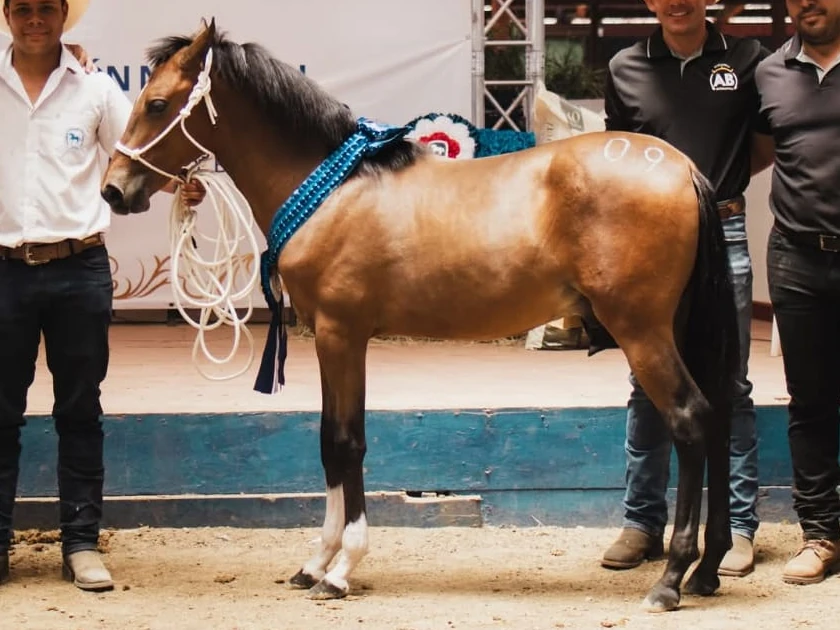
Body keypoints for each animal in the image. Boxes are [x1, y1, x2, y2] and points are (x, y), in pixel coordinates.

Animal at [100, 20, 739, 613]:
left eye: (156, 104)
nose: (113, 189)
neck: (333, 191)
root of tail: (682, 168)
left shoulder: (341, 333)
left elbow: (346, 442)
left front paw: (341, 569)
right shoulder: (329, 336)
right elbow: (328, 441)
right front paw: (315, 563)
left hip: (642, 331)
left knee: (689, 421)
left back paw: (669, 580)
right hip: (676, 329)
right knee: (718, 420)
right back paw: (707, 571)